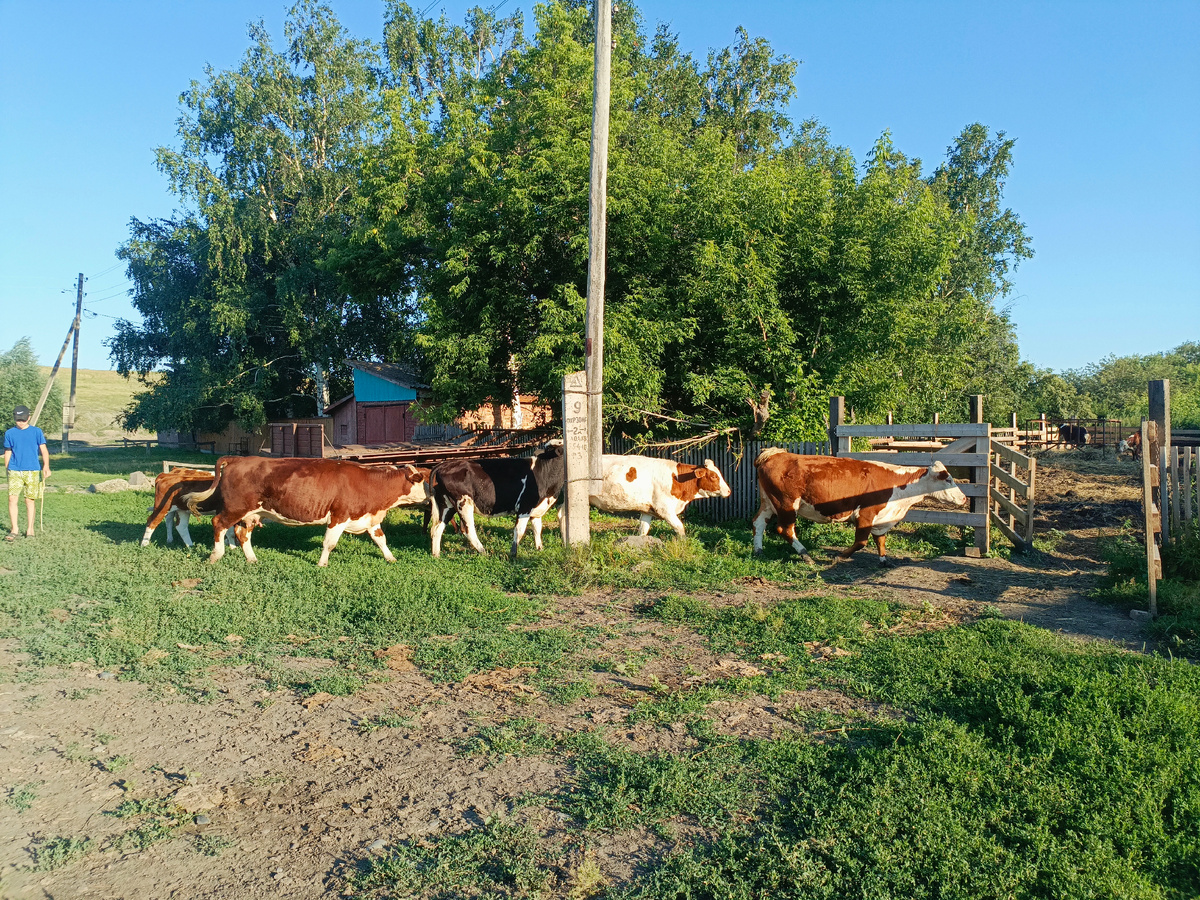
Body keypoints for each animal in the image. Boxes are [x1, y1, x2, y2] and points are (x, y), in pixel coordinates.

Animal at [187, 460, 432, 566]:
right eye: (426, 479)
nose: (432, 498)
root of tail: (237, 459)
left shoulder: (369, 518)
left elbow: (381, 540)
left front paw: (391, 558)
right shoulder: (339, 516)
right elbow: (329, 543)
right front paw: (322, 564)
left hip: (250, 514)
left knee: (242, 534)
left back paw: (252, 558)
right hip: (235, 507)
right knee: (218, 524)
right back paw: (215, 555)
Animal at [429, 441, 564, 556]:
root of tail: (444, 464)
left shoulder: (537, 509)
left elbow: (537, 528)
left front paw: (540, 549)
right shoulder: (524, 506)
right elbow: (519, 530)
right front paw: (513, 554)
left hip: (447, 505)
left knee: (437, 528)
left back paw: (436, 555)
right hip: (463, 503)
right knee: (468, 529)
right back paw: (483, 551)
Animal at [590, 453, 729, 540]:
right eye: (714, 476)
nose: (728, 491)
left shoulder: (647, 510)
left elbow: (643, 530)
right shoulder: (664, 509)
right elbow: (680, 528)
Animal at [753, 448, 969, 566]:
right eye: (948, 479)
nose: (964, 498)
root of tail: (776, 454)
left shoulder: (882, 518)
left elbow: (880, 540)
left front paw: (884, 561)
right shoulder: (866, 515)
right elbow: (861, 542)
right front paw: (839, 557)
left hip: (769, 502)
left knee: (758, 523)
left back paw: (758, 550)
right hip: (786, 504)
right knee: (785, 529)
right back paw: (806, 555)